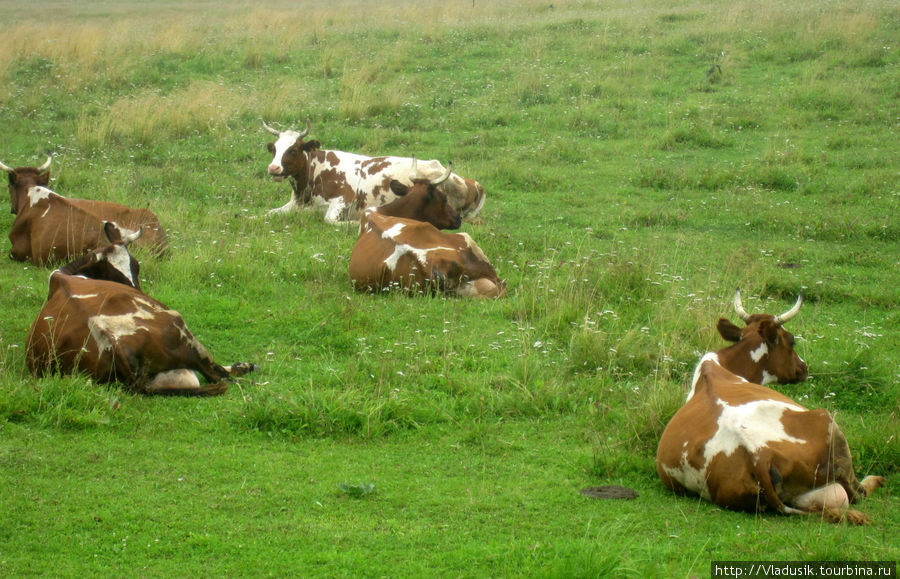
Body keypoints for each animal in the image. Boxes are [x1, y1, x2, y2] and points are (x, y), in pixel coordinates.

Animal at [25, 224, 256, 396]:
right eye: (114, 275)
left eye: (136, 265)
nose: (136, 289)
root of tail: (112, 343)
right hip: (179, 324)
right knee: (219, 374)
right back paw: (246, 368)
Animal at [656, 290, 884, 524]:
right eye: (792, 341)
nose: (803, 368)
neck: (722, 364)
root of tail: (758, 455)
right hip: (827, 420)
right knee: (857, 492)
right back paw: (875, 480)